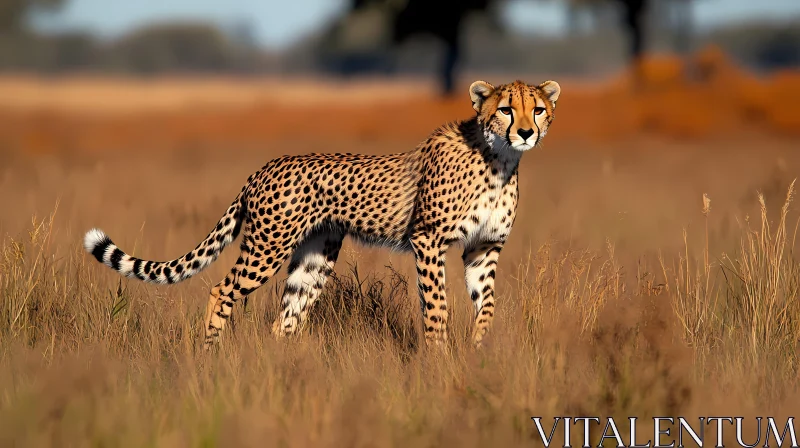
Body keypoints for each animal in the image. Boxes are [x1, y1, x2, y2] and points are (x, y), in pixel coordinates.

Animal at [84, 79, 564, 346]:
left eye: (538, 109)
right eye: (506, 109)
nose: (526, 132)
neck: (498, 159)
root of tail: (263, 167)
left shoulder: (484, 248)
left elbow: (488, 305)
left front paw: (478, 353)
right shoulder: (428, 240)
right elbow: (437, 308)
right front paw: (440, 362)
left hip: (314, 258)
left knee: (286, 319)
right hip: (268, 248)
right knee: (222, 290)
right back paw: (207, 356)